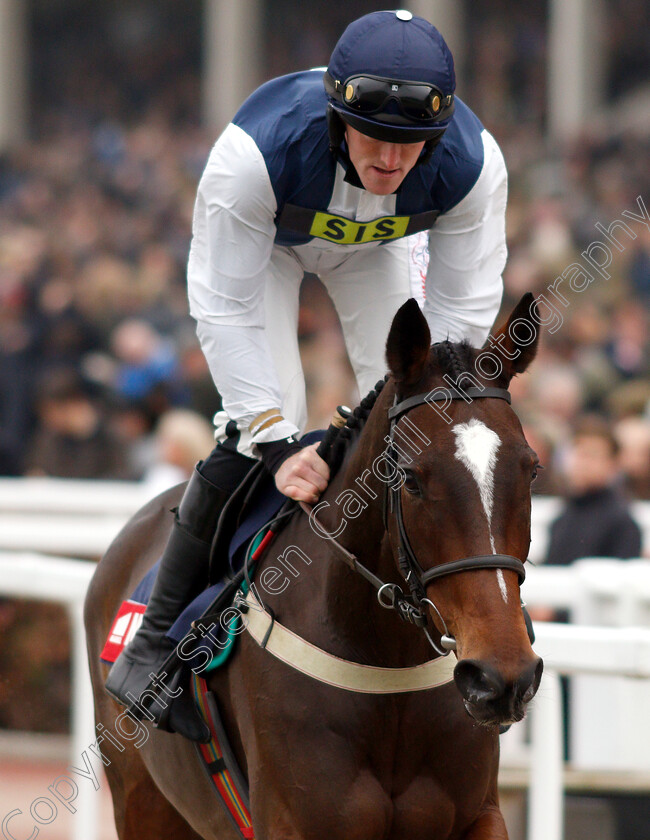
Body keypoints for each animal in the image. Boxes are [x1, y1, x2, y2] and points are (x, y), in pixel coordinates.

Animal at [85, 292, 540, 836]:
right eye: (410, 478)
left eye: (532, 469)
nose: (501, 676)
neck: (388, 669)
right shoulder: (292, 819)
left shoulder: (479, 815)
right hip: (142, 801)